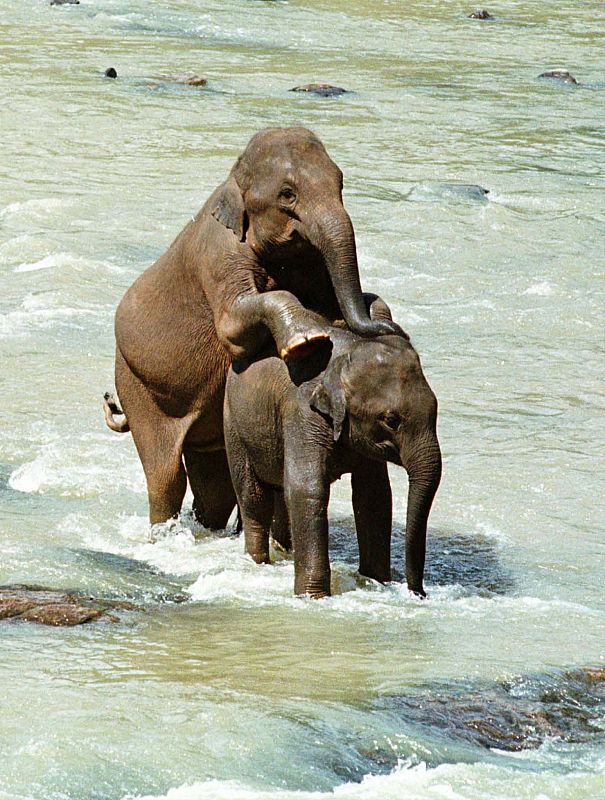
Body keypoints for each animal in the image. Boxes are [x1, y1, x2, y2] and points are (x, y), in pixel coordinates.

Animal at [108, 128, 402, 532]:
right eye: (287, 194)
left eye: (341, 183)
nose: (391, 327)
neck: (232, 180)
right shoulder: (220, 255)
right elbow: (233, 327)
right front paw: (306, 341)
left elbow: (331, 303)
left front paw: (373, 313)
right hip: (137, 383)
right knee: (166, 476)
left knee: (215, 484)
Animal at [224, 322, 442, 596]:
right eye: (391, 420)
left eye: (436, 410)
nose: (419, 594)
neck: (347, 354)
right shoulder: (302, 413)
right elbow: (306, 489)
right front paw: (314, 596)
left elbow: (374, 495)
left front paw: (376, 581)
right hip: (233, 425)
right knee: (254, 498)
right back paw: (258, 563)